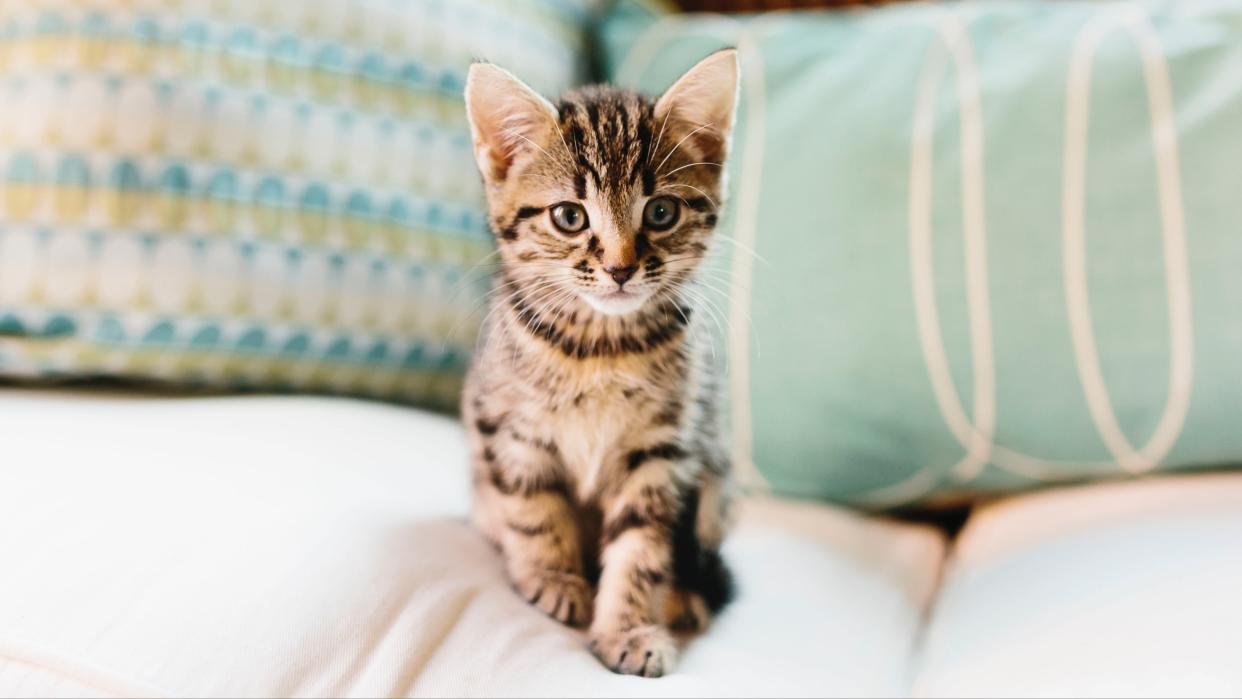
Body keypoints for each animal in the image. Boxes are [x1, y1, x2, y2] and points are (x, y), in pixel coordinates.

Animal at [464, 50, 735, 680]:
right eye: (569, 216)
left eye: (660, 212)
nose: (620, 268)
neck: (601, 348)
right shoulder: (509, 426)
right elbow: (533, 510)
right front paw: (555, 577)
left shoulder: (665, 450)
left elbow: (641, 548)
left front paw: (628, 628)